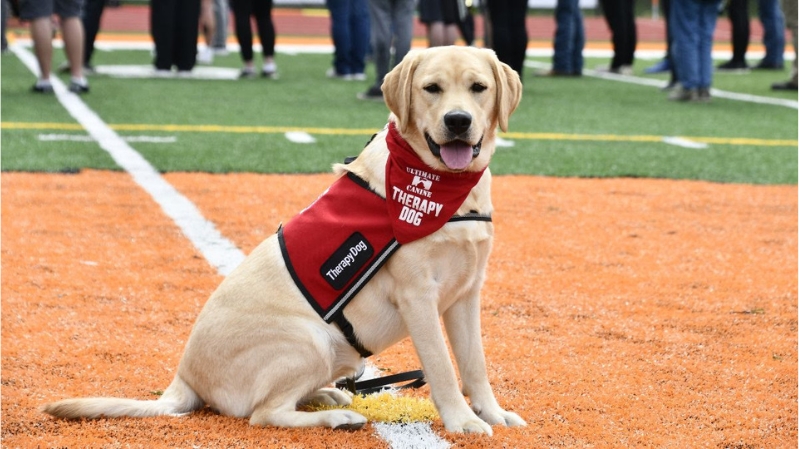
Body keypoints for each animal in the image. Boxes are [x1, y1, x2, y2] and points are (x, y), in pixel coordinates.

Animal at [45, 45, 532, 434]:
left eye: (478, 87)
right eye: (432, 88)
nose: (458, 120)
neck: (445, 191)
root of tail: (184, 379)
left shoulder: (466, 294)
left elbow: (474, 364)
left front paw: (492, 413)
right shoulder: (419, 298)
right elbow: (445, 369)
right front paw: (463, 422)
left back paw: (328, 395)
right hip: (309, 338)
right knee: (264, 414)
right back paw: (337, 416)